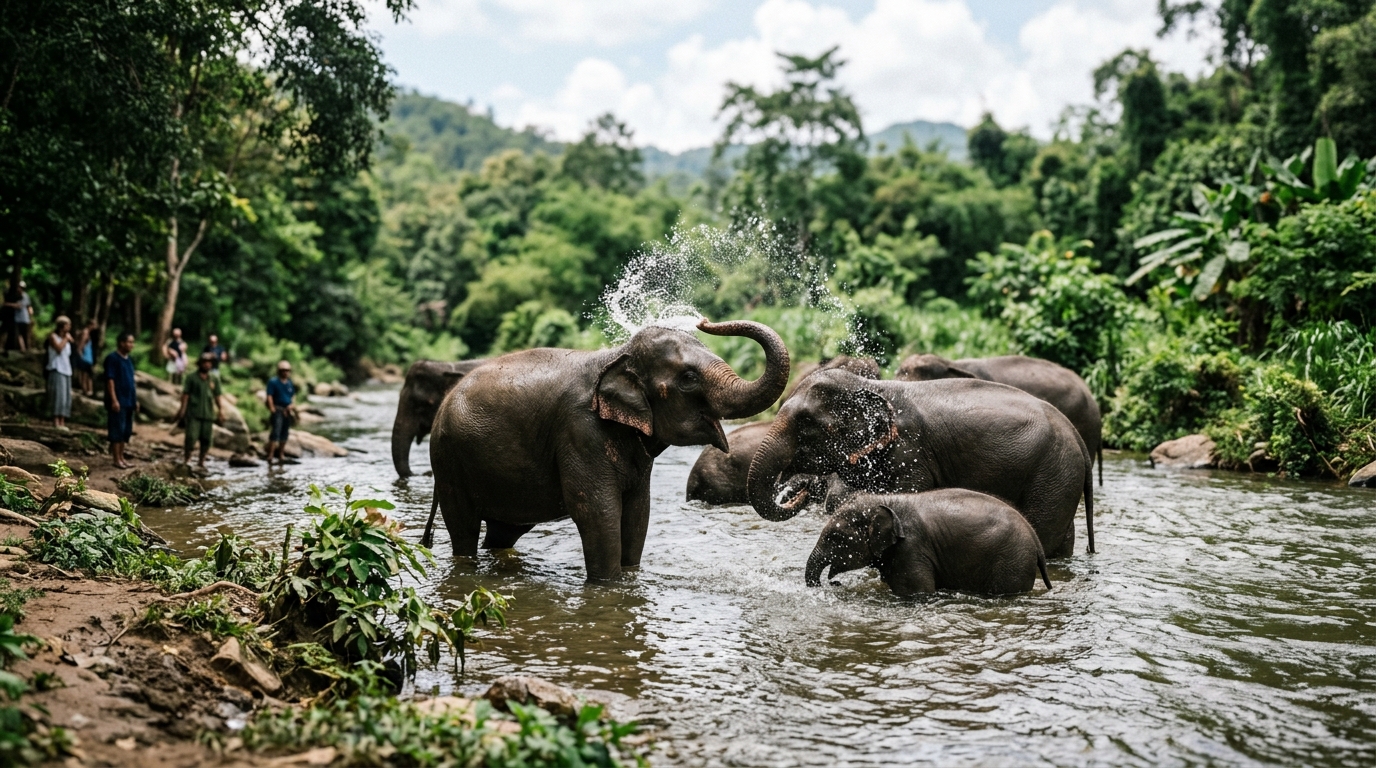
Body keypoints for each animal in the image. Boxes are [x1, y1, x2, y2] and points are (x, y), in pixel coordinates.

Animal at [430, 319, 790, 581]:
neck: (616, 356)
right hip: (448, 462)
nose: (703, 320)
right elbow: (598, 512)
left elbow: (638, 512)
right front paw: (608, 585)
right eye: (688, 378)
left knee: (503, 531)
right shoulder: (579, 431)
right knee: (463, 527)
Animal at [747, 370, 1094, 558]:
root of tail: (1079, 439)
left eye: (806, 423)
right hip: (1060, 474)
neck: (873, 387)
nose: (797, 492)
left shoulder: (910, 455)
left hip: (1052, 472)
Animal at [805, 490, 1052, 596]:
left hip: (1012, 561)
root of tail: (1036, 539)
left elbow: (917, 591)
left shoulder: (911, 548)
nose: (835, 583)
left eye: (835, 537)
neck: (886, 500)